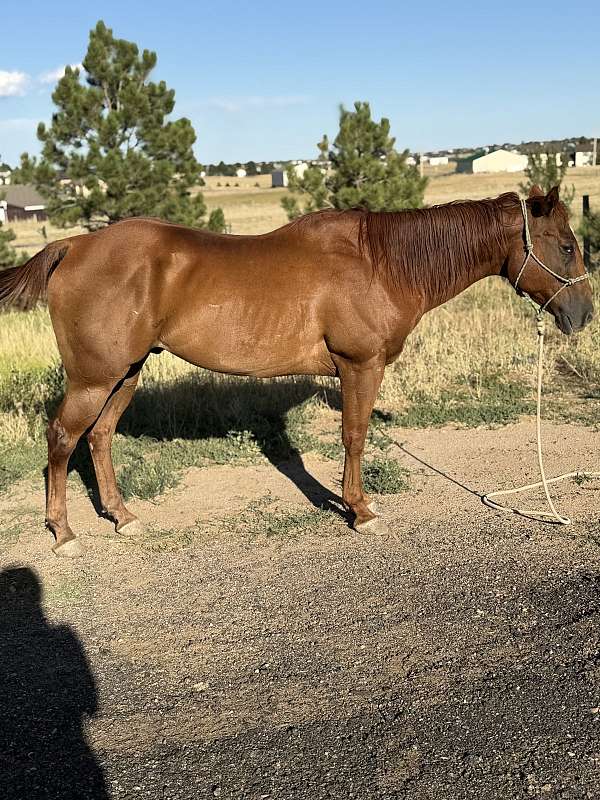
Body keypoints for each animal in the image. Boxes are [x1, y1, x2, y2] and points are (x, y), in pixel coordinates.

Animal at [0, 185, 593, 557]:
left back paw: (122, 517)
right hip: (94, 379)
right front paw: (360, 510)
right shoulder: (359, 366)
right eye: (566, 245)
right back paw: (63, 533)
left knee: (98, 437)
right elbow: (355, 436)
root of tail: (73, 245)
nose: (583, 314)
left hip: (125, 374)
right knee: (62, 438)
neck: (381, 263)